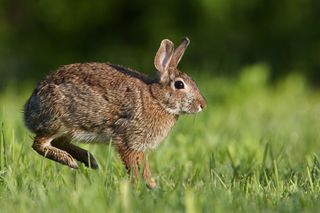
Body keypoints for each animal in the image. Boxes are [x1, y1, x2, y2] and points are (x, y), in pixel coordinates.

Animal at [23, 37, 206, 189]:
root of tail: (29, 108)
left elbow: (144, 166)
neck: (157, 98)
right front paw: (140, 187)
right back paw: (71, 161)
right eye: (179, 85)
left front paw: (152, 186)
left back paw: (89, 160)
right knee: (39, 144)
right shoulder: (128, 140)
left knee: (59, 142)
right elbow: (135, 167)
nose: (202, 105)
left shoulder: (139, 145)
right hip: (58, 121)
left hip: (68, 129)